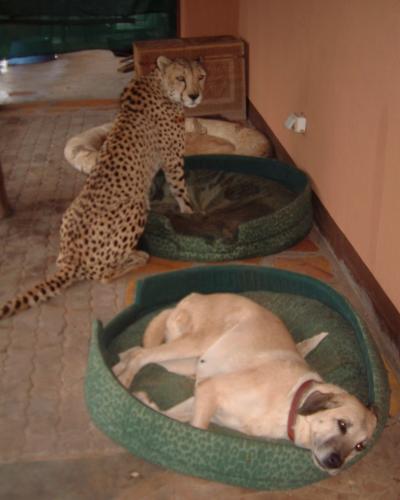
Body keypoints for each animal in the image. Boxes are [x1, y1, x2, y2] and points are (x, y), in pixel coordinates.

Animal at [0, 55, 206, 320]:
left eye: (200, 76)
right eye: (181, 78)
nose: (194, 96)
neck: (158, 84)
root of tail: (71, 257)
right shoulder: (172, 160)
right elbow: (181, 191)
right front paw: (191, 213)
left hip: (69, 223)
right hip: (134, 209)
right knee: (101, 275)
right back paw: (136, 257)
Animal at [113, 292, 378, 472]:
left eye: (359, 447)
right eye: (342, 424)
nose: (335, 463)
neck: (292, 403)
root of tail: (194, 296)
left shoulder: (201, 394)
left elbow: (169, 415)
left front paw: (146, 403)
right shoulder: (211, 390)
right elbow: (197, 430)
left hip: (184, 362)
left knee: (135, 352)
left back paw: (117, 369)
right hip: (192, 345)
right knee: (141, 355)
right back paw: (123, 379)